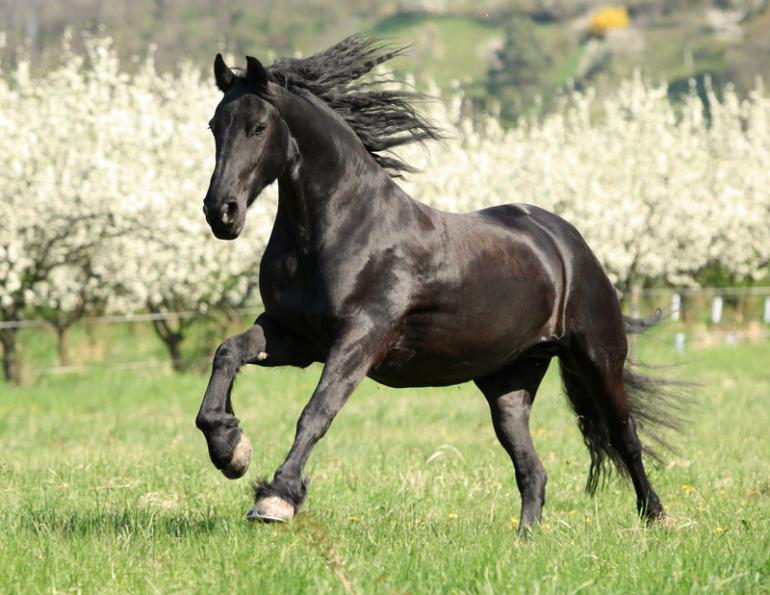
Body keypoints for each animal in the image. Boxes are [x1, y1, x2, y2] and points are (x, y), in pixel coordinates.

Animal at [195, 36, 682, 530]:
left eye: (258, 127)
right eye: (215, 126)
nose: (221, 212)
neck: (344, 226)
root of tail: (567, 241)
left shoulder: (359, 340)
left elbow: (317, 412)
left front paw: (276, 498)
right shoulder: (293, 336)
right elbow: (227, 353)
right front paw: (231, 449)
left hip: (597, 357)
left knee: (624, 437)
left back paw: (656, 518)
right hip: (508, 382)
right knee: (533, 470)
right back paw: (525, 539)